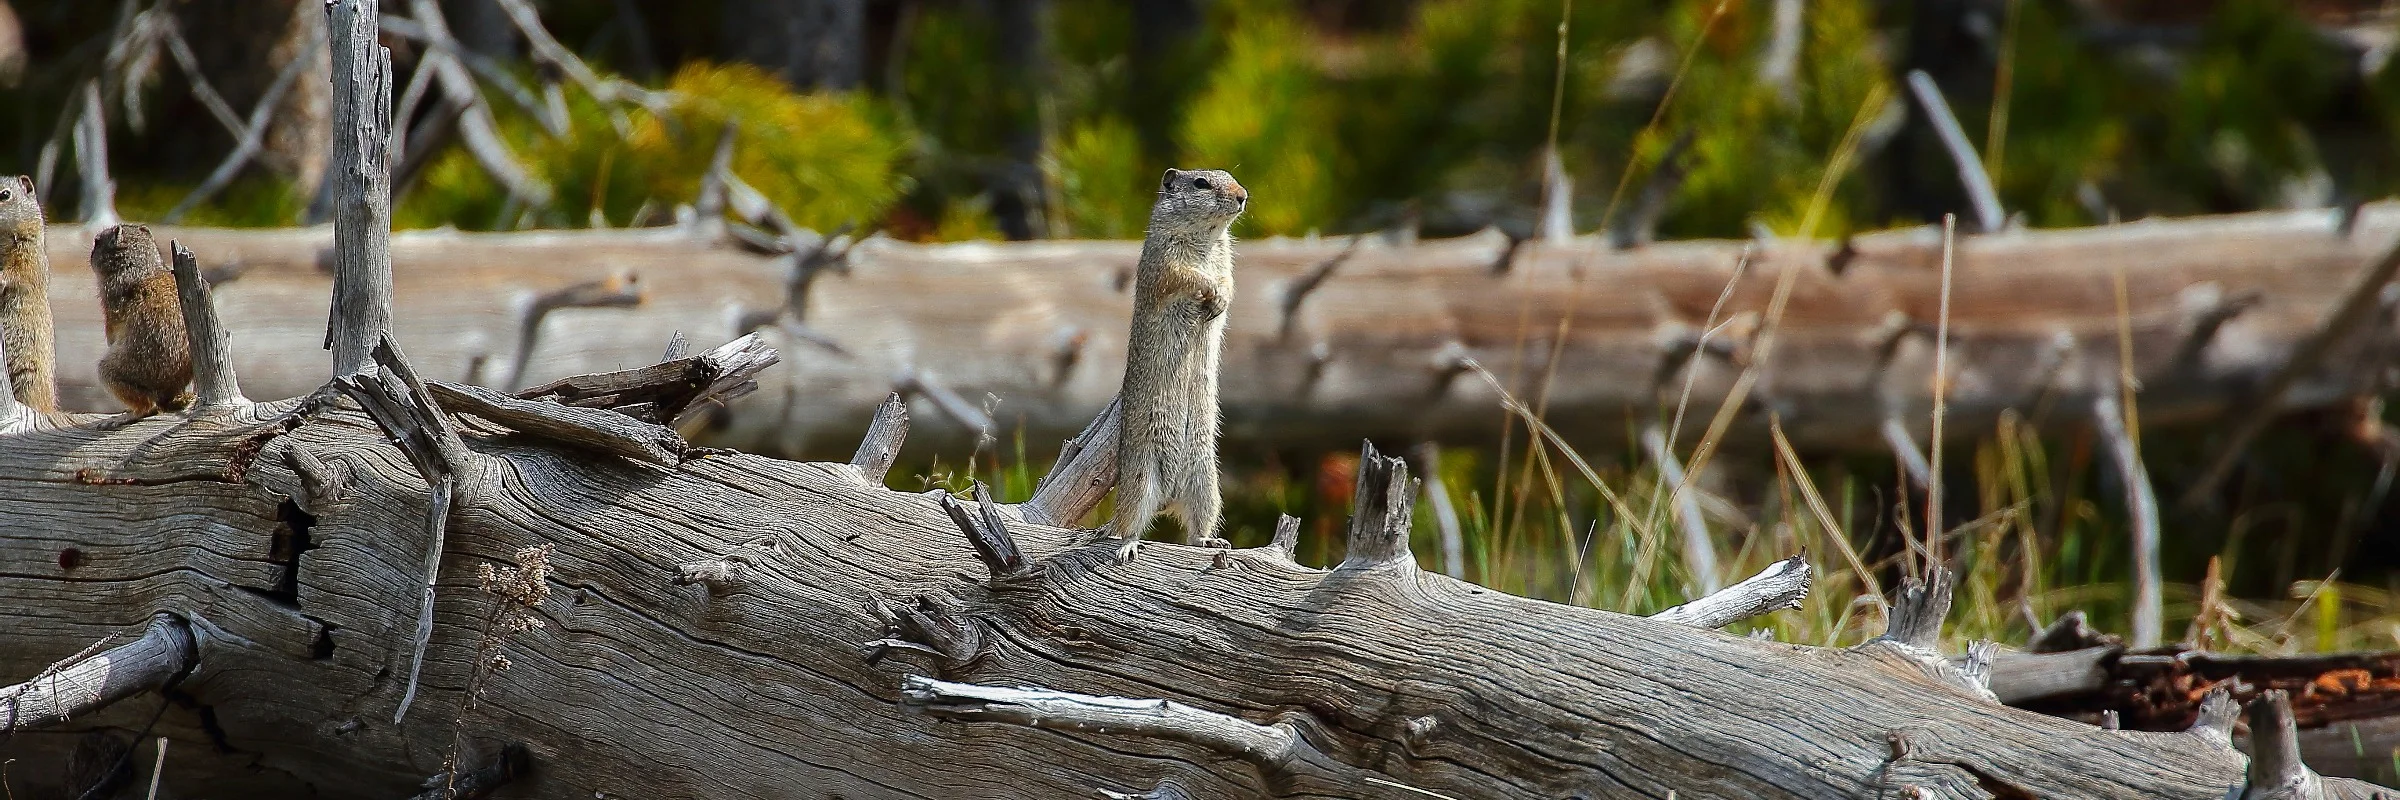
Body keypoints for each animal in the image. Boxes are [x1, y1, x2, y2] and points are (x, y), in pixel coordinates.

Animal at [90, 223, 192, 419]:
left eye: (97, 242)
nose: (90, 256)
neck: (144, 265)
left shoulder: (110, 294)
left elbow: (111, 326)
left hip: (113, 370)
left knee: (150, 406)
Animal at [1104, 167, 1248, 560]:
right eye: (1201, 183)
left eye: (1229, 176)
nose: (1243, 195)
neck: (1206, 237)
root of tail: (1167, 499)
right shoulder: (1166, 259)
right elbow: (1185, 276)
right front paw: (1209, 290)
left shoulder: (1225, 259)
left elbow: (1229, 281)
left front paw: (1221, 299)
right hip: (1140, 479)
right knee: (1128, 523)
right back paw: (1128, 545)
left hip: (1205, 482)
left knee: (1196, 527)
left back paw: (1210, 541)